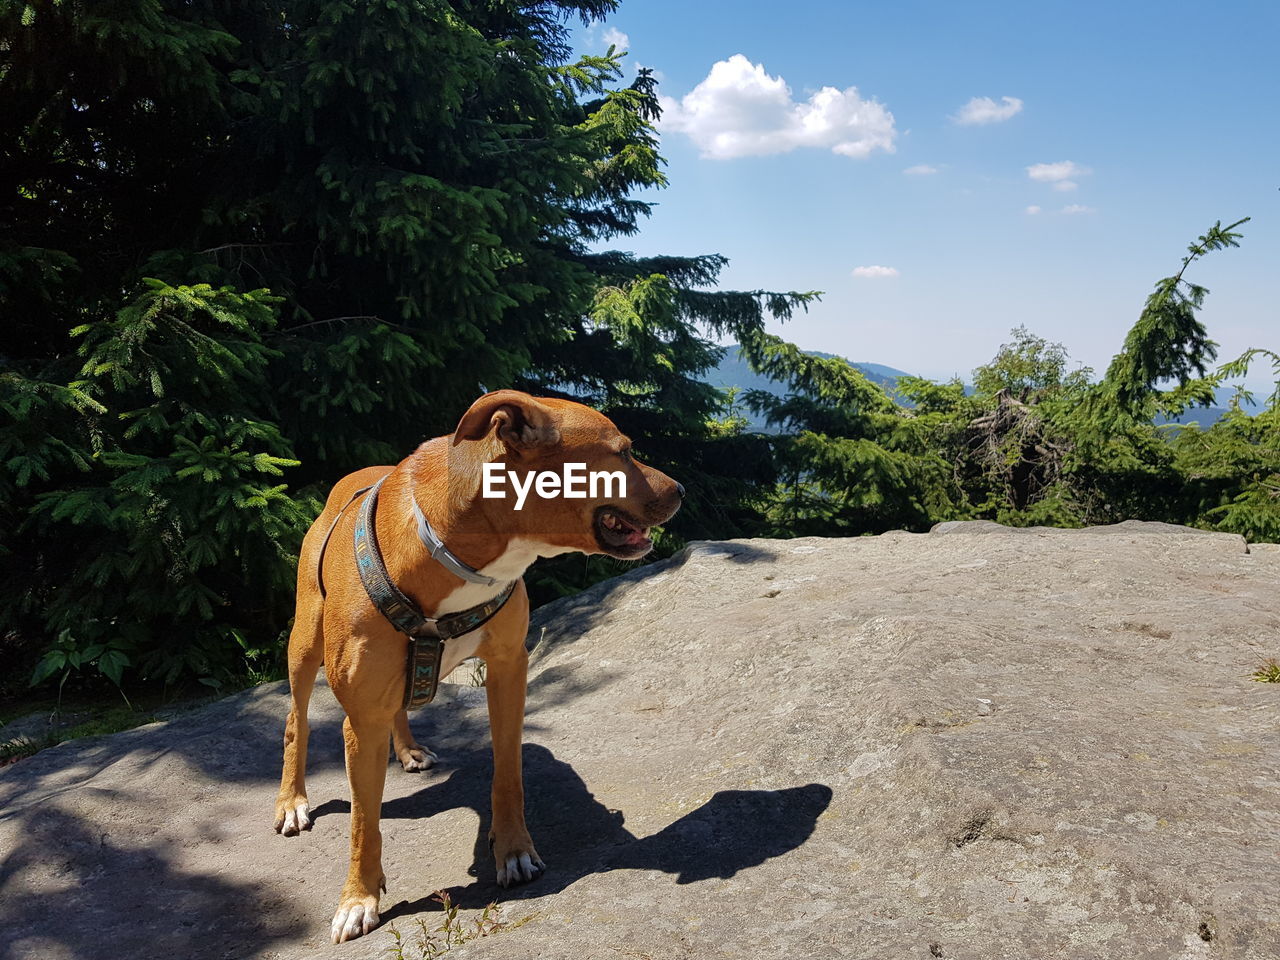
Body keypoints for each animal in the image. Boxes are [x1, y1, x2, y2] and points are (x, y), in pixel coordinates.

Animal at [275, 391, 686, 947]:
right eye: (622, 452)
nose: (681, 491)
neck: (457, 545)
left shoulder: (509, 668)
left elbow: (507, 772)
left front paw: (513, 851)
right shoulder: (360, 718)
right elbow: (364, 822)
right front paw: (358, 899)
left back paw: (407, 750)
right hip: (305, 642)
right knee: (296, 720)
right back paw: (292, 801)